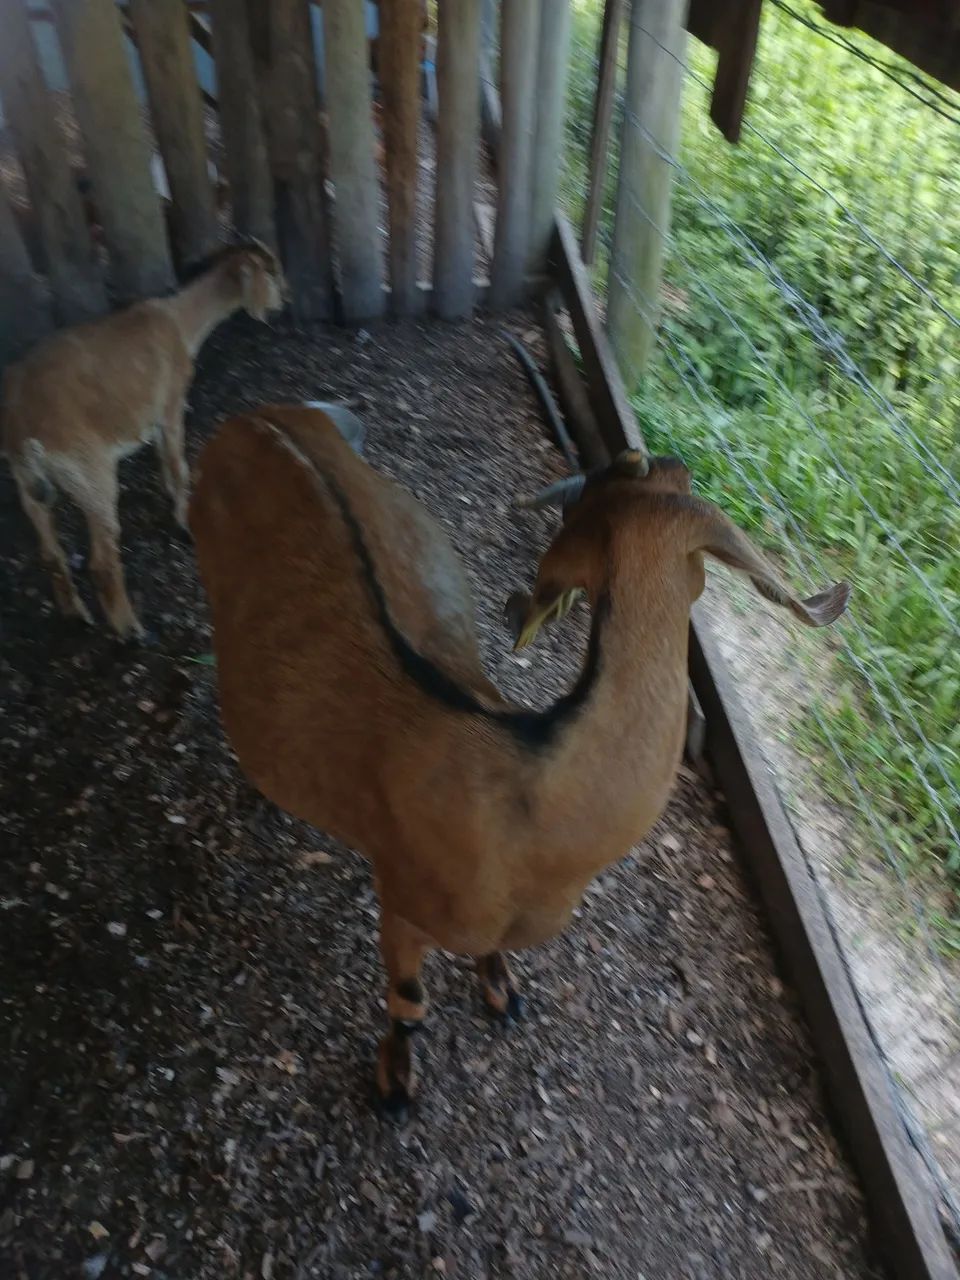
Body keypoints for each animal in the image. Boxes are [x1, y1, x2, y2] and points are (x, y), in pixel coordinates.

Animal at [2, 241, 285, 640]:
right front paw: (185, 523)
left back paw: (75, 613)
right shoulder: (170, 407)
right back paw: (131, 630)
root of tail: (22, 425)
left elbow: (165, 463)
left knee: (50, 553)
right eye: (271, 274)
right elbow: (179, 466)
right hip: (91, 474)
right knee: (103, 562)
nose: (280, 304)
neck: (181, 321)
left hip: (27, 483)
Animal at [188, 406, 849, 1114]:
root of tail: (262, 417)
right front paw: (395, 1084)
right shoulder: (403, 901)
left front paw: (502, 993)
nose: (669, 456)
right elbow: (410, 1003)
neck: (532, 805)